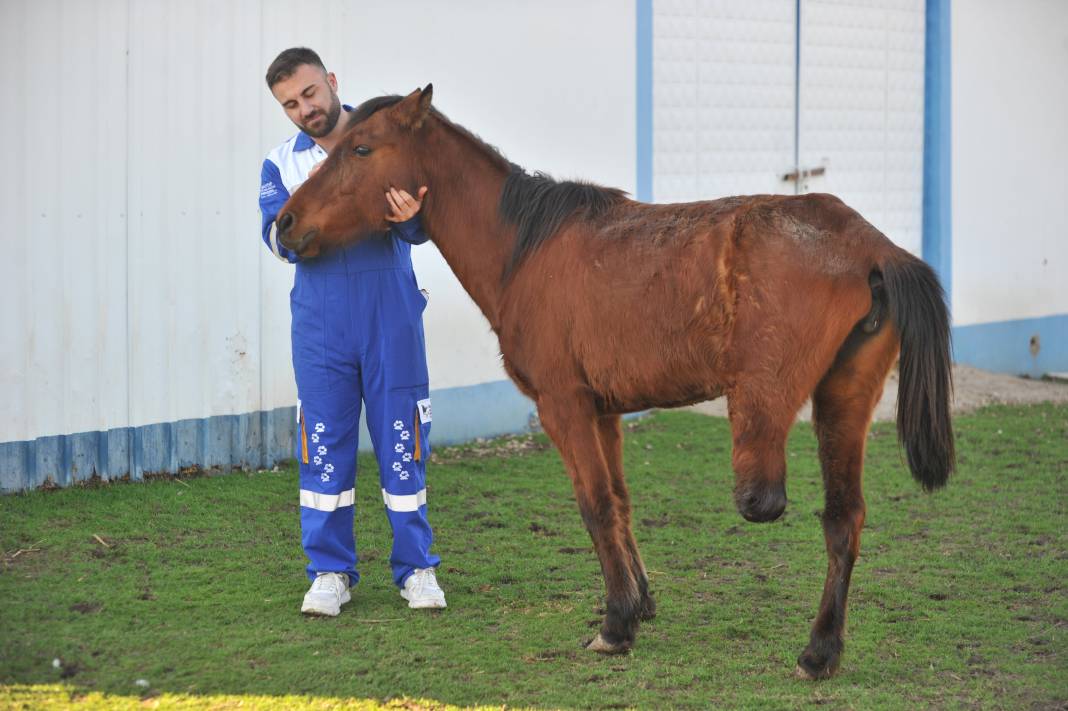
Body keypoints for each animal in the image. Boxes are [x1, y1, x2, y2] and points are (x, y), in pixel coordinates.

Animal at [273, 85, 952, 678]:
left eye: (361, 149)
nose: (283, 222)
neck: (526, 248)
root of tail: (869, 245)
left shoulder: (565, 407)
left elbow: (595, 505)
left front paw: (617, 623)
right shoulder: (604, 410)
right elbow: (622, 502)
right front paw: (640, 600)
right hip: (845, 399)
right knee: (844, 518)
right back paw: (820, 651)